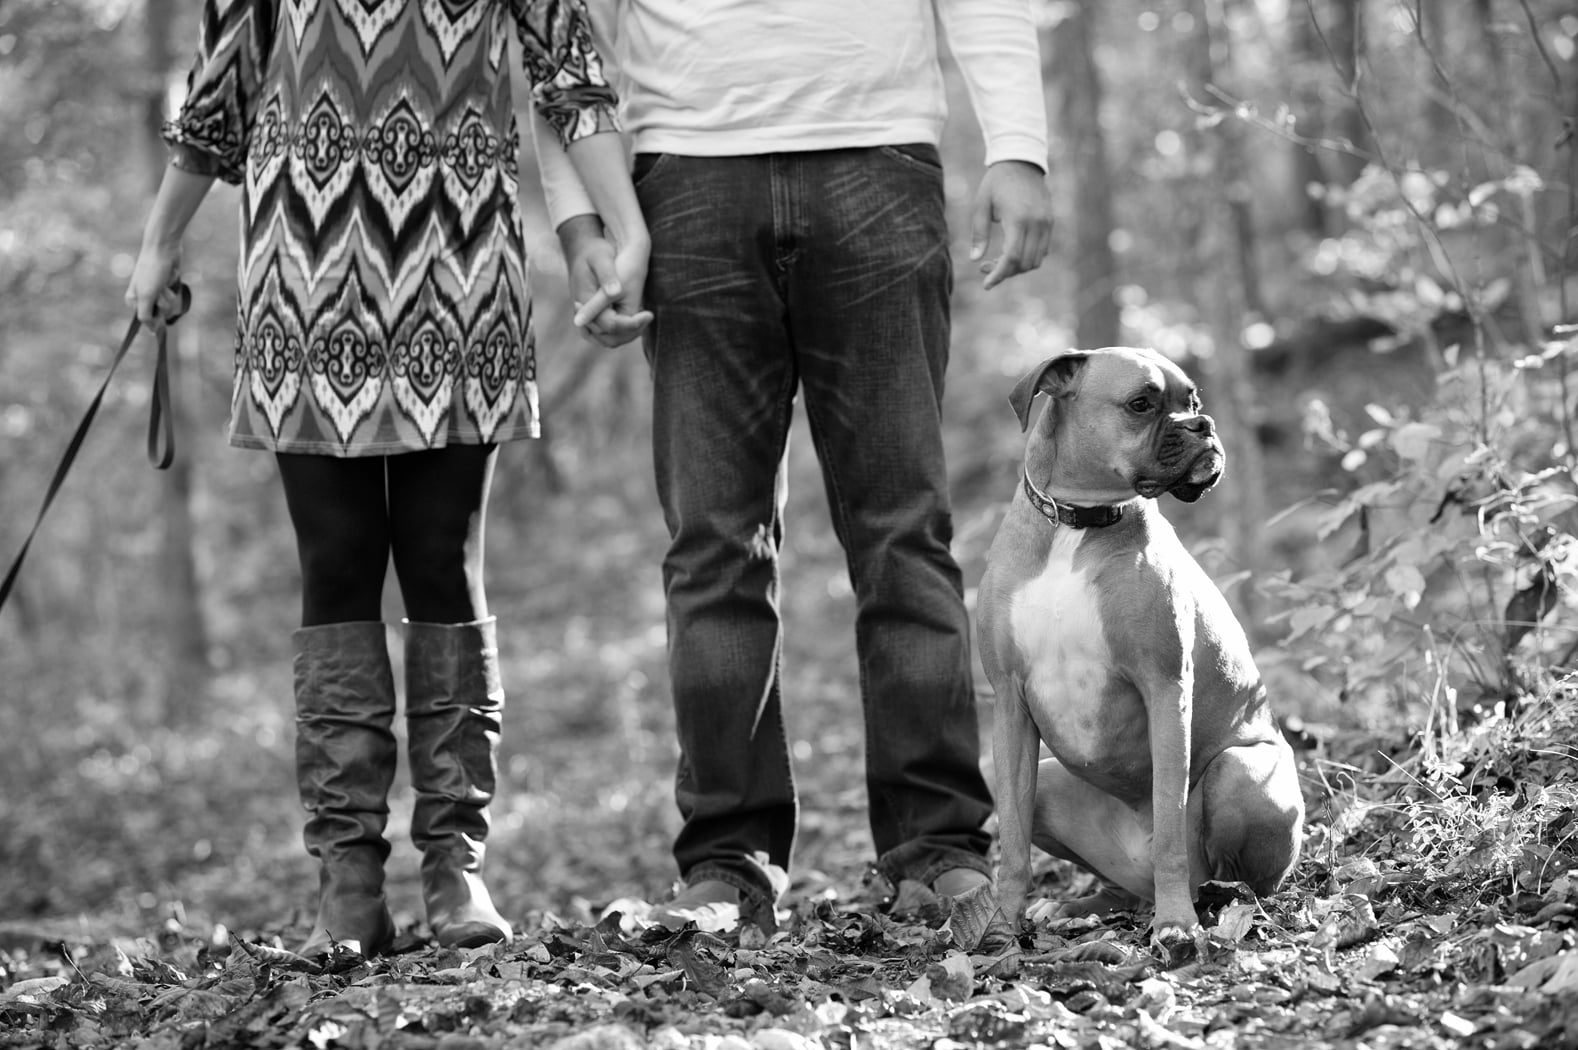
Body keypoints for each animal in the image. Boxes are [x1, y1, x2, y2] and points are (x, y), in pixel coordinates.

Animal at [972, 345, 1306, 947]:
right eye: (1141, 404)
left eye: (1192, 401)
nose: (1203, 425)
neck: (1077, 522)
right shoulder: (1009, 704)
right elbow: (1012, 844)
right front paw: (1002, 928)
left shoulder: (1165, 688)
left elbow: (1170, 828)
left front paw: (1175, 924)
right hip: (1050, 784)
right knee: (1116, 885)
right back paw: (1079, 906)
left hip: (1241, 772)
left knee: (1236, 877)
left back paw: (1214, 901)